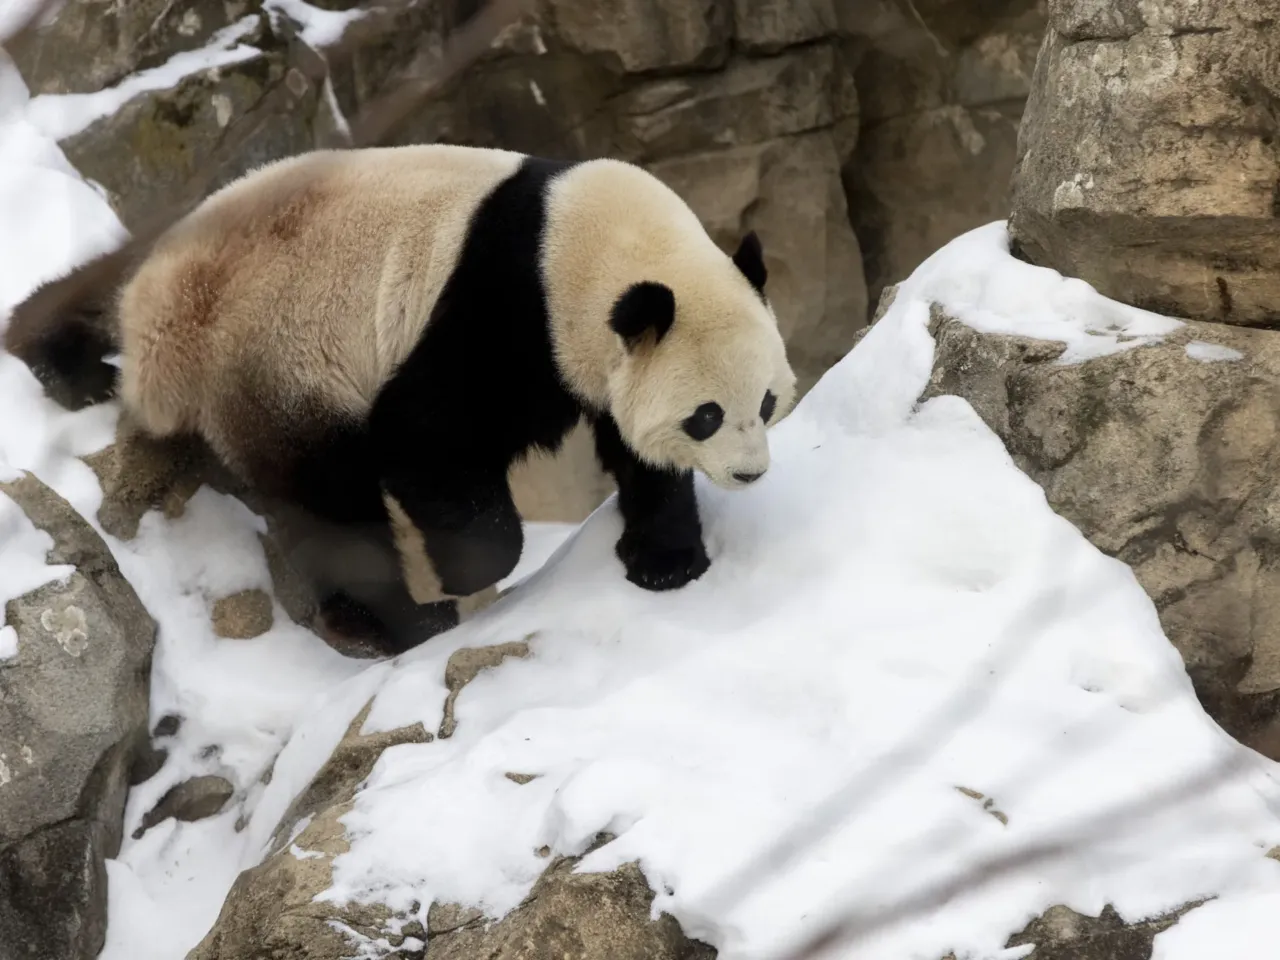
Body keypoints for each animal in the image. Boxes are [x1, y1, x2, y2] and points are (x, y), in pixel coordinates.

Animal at [13, 144, 797, 649]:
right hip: (277, 366)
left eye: (764, 403)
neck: (581, 241)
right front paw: (470, 570)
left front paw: (664, 560)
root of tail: (159, 340)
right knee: (333, 507)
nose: (751, 473)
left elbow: (635, 452)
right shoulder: (502, 314)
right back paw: (394, 624)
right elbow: (425, 437)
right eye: (706, 417)